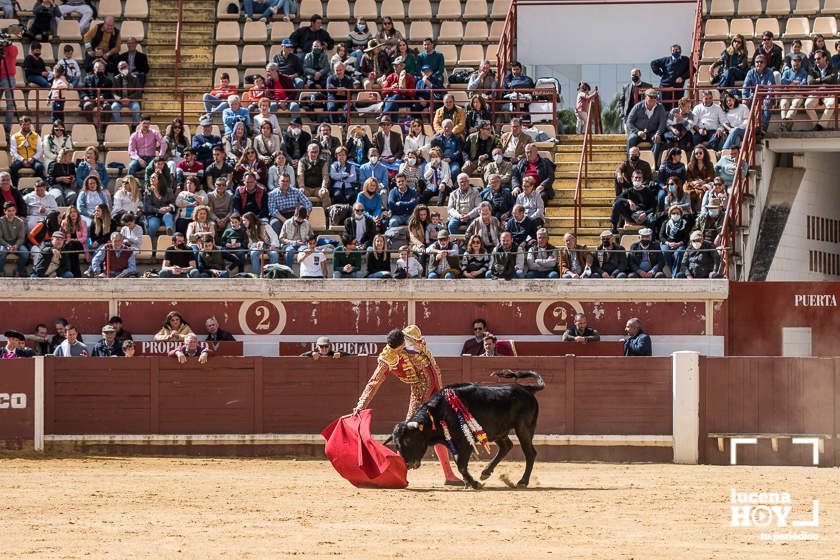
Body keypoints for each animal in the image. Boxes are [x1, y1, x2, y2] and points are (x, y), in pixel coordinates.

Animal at [388, 372, 544, 490]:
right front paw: (471, 482)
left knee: (530, 453)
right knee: (506, 446)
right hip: (498, 431)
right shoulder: (453, 442)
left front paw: (474, 483)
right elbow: (459, 462)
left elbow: (461, 464)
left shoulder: (465, 442)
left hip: (523, 429)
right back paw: (486, 472)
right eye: (396, 444)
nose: (407, 464)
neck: (439, 412)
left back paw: (522, 482)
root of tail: (526, 389)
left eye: (408, 440)